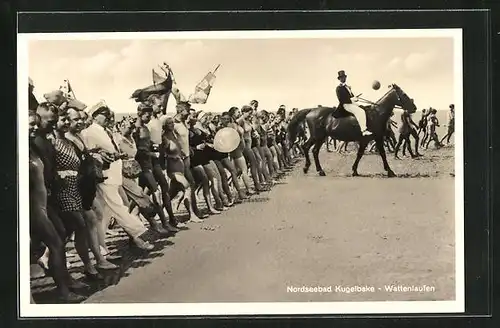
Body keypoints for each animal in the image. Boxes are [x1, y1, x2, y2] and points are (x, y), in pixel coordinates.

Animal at [288, 83, 416, 178]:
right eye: (404, 94)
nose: (414, 108)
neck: (376, 114)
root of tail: (311, 110)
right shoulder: (376, 138)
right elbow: (381, 154)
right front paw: (390, 171)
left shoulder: (368, 140)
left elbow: (360, 154)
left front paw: (354, 170)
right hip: (318, 136)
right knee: (310, 149)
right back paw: (316, 170)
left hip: (319, 137)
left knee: (309, 149)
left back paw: (311, 169)